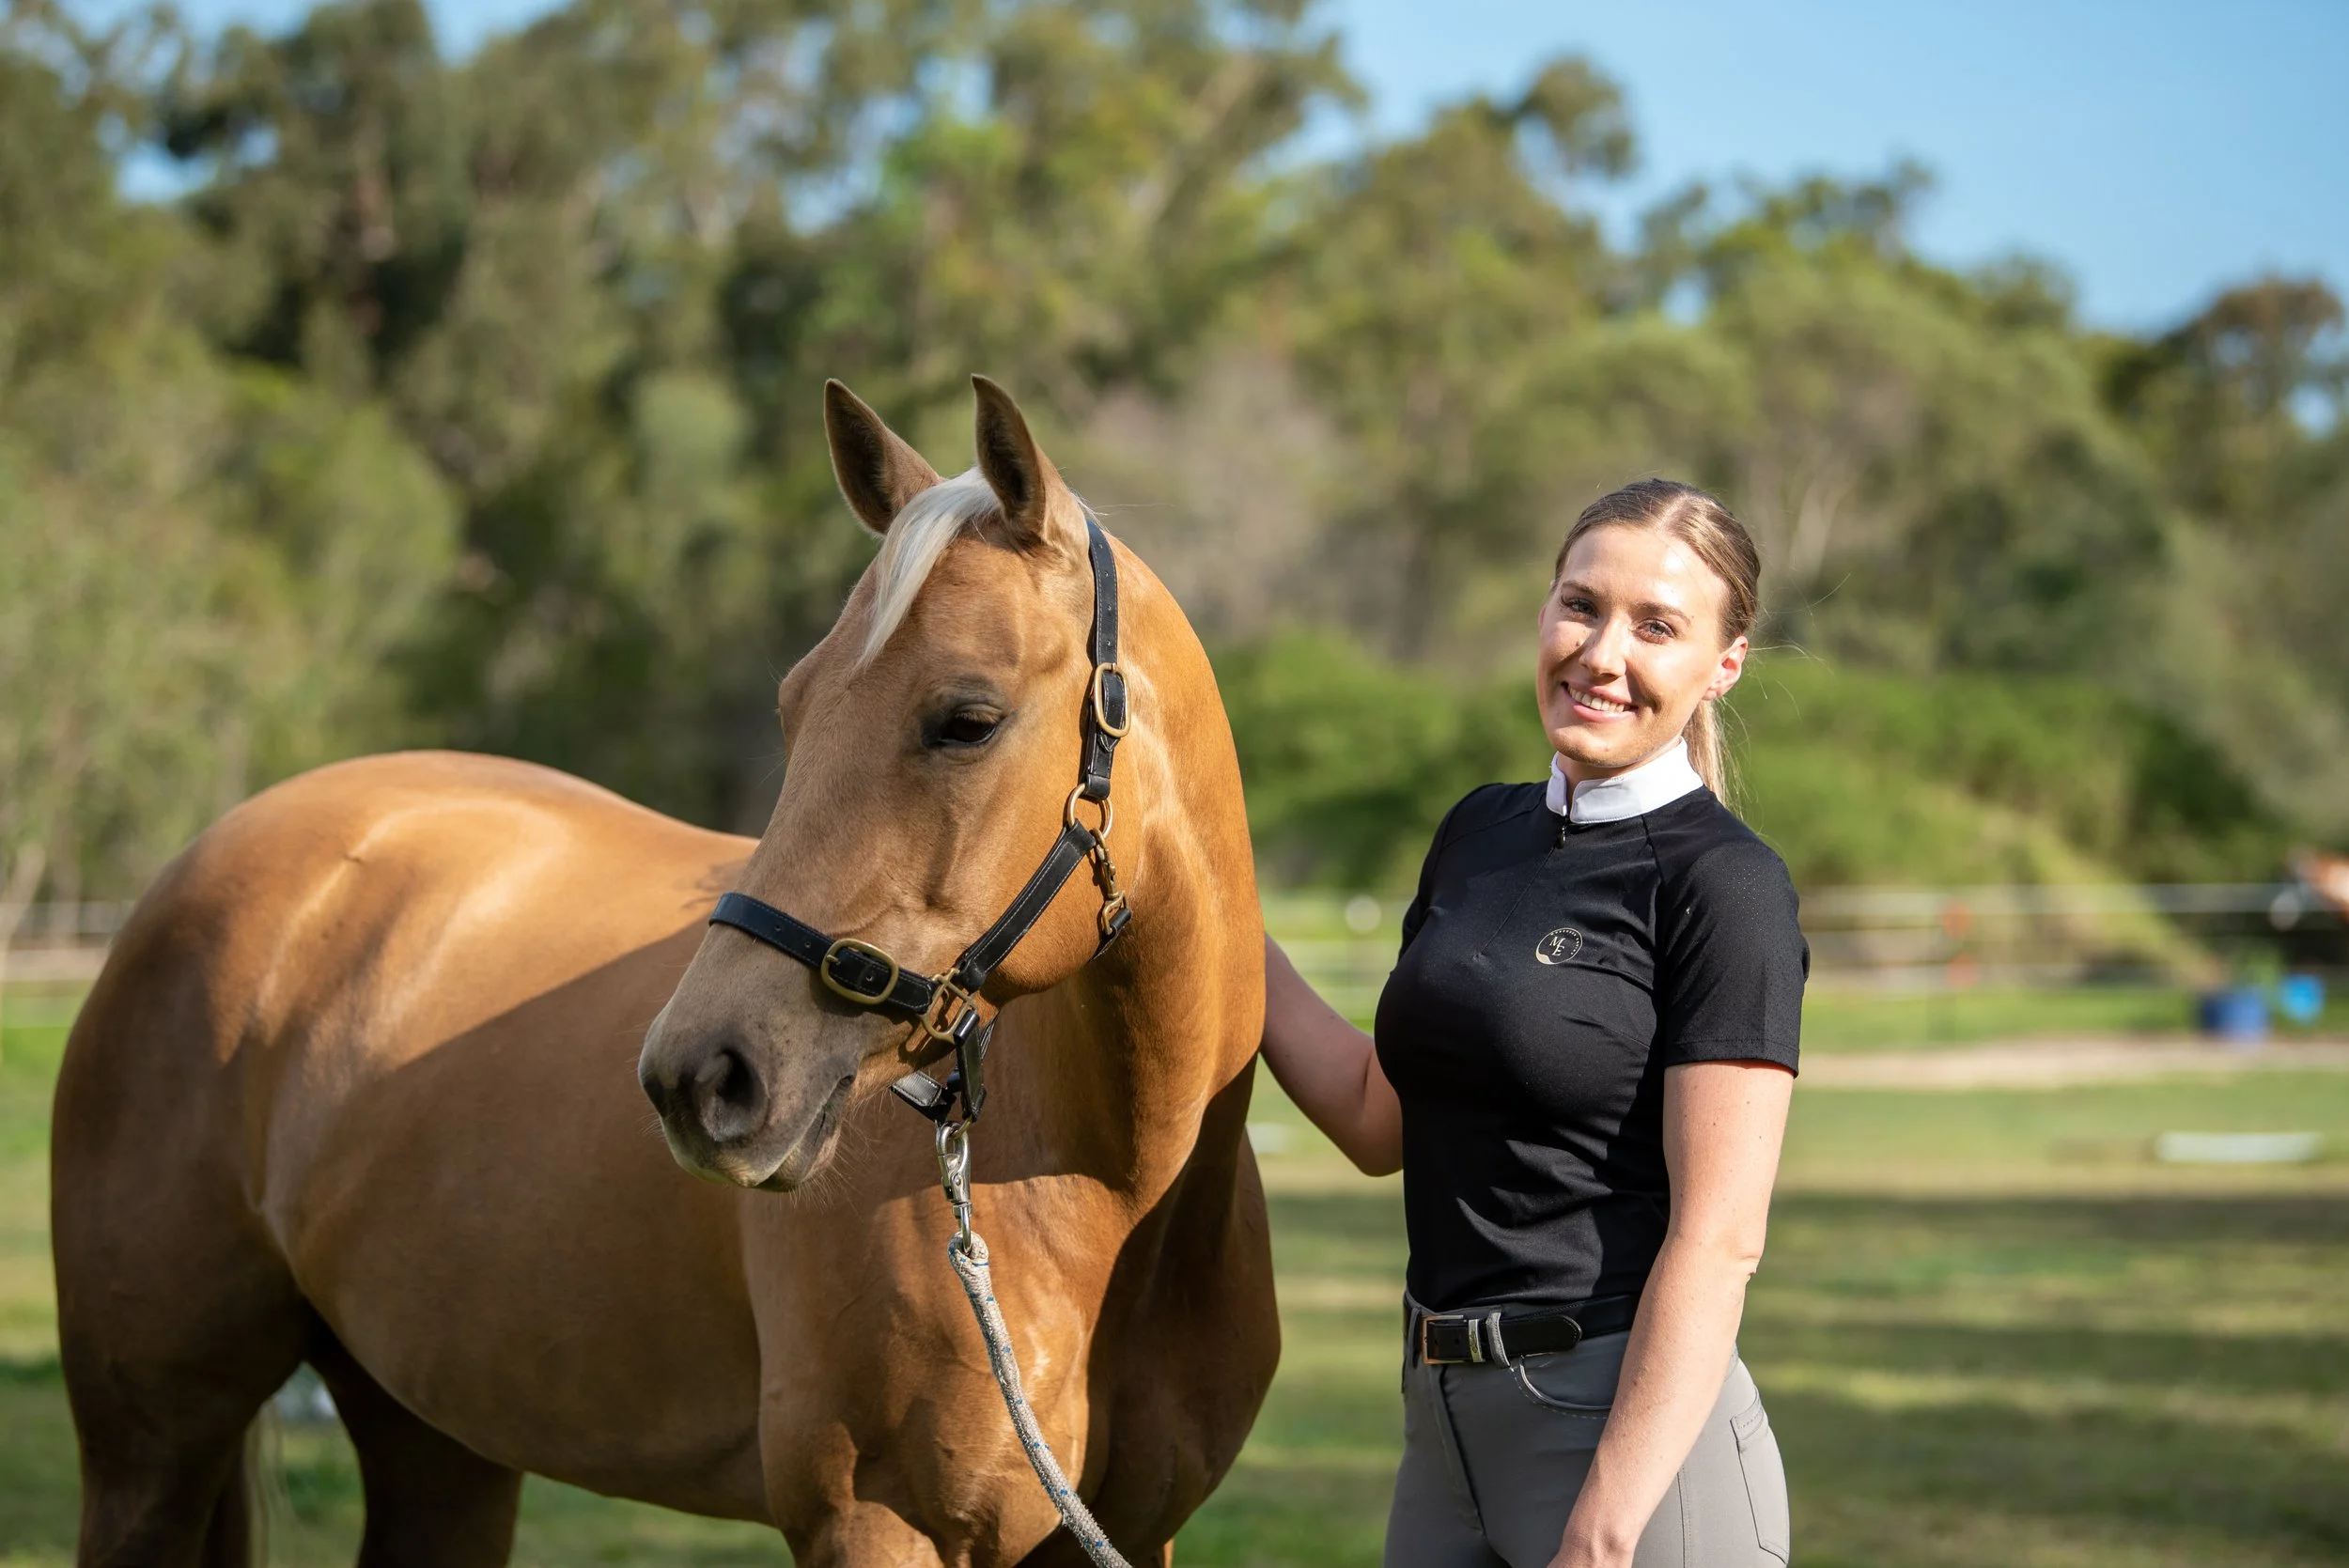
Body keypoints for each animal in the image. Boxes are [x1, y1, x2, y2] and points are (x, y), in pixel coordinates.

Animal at [49, 376, 1280, 1566]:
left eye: (967, 719)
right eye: (792, 705)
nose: (701, 1075)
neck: (1101, 1196)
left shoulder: (1136, 1536)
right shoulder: (877, 1525)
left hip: (434, 1434)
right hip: (150, 1441)